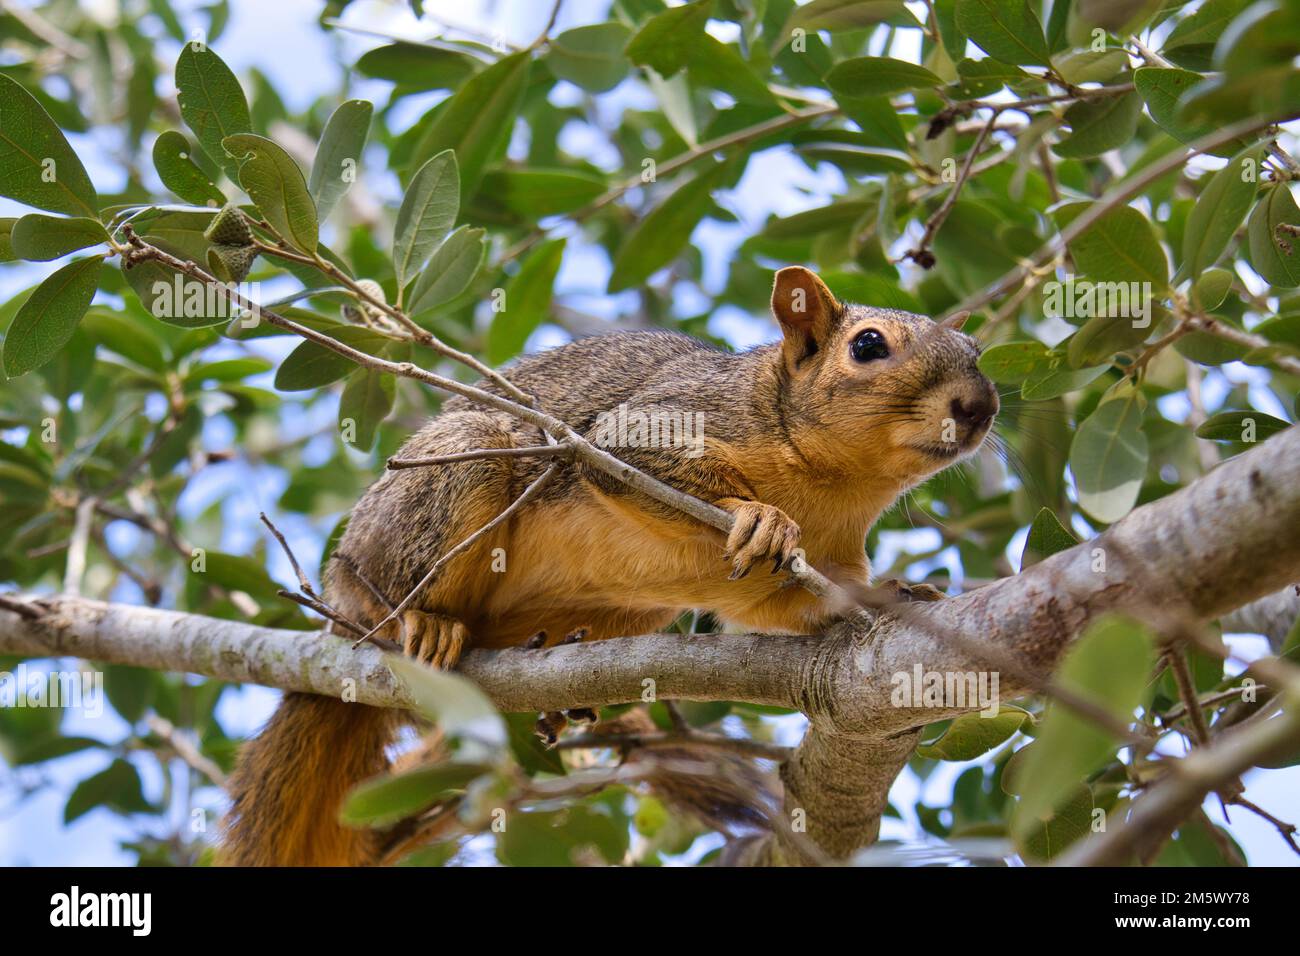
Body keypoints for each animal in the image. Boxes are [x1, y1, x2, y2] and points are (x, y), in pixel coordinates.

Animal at [221, 266, 998, 866]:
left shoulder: (823, 561)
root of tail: (337, 607)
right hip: (443, 488)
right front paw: (759, 517)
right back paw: (429, 623)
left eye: (976, 350)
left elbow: (796, 605)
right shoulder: (658, 423)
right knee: (403, 597)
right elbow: (634, 456)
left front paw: (895, 591)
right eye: (868, 345)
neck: (835, 482)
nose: (980, 406)